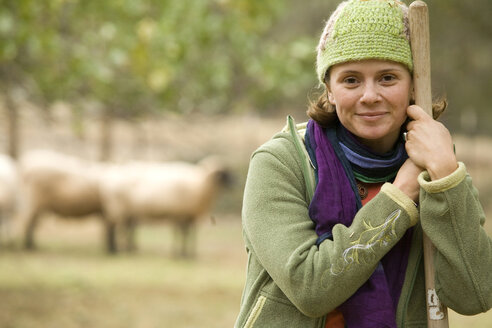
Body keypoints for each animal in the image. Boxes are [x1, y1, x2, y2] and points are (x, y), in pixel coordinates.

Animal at [100, 156, 233, 256]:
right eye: (223, 174)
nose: (234, 184)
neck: (200, 184)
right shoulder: (180, 214)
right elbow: (182, 233)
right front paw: (180, 254)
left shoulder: (189, 215)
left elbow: (191, 233)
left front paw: (191, 255)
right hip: (119, 209)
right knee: (114, 228)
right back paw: (115, 250)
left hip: (128, 212)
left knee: (126, 228)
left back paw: (128, 249)